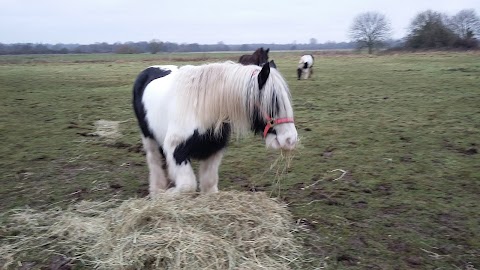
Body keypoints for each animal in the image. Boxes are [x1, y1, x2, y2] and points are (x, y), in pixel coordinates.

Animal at [133, 61, 298, 196]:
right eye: (274, 101)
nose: (290, 140)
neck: (200, 109)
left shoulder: (213, 151)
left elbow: (209, 185)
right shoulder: (176, 150)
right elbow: (187, 186)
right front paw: (169, 194)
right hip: (149, 138)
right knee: (155, 163)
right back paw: (158, 190)